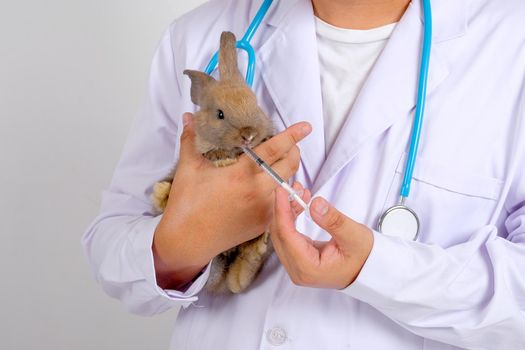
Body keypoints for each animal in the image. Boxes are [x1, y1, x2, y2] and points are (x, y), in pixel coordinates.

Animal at [150, 31, 274, 292]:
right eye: (220, 114)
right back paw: (162, 192)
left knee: (241, 275)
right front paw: (221, 160)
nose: (248, 135)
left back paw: (256, 250)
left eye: (255, 103)